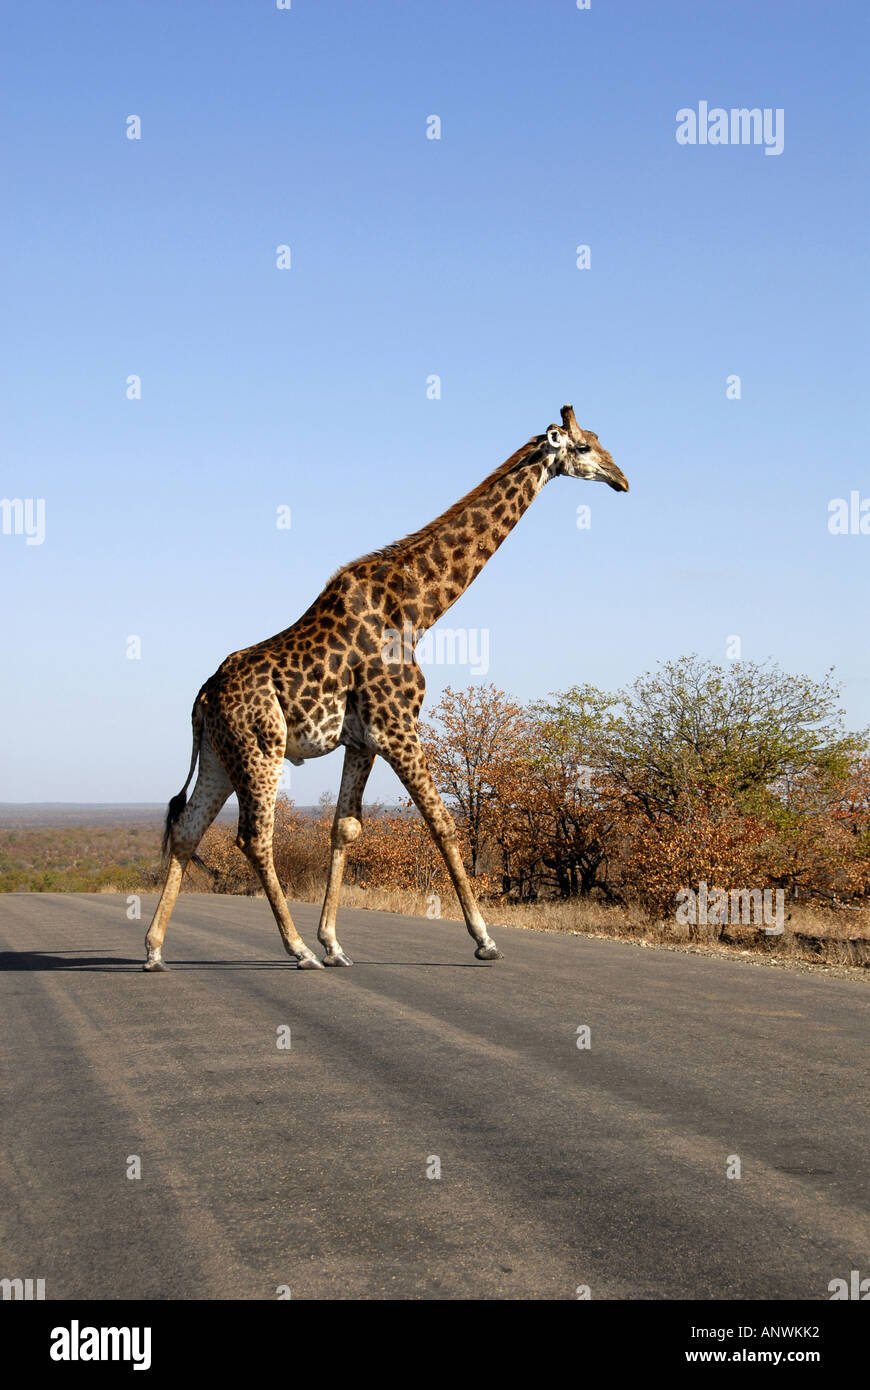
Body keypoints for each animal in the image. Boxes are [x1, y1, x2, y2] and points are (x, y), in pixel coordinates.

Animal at [145, 403, 625, 967]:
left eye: (598, 439)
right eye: (583, 446)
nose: (621, 479)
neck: (419, 609)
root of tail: (202, 697)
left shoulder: (362, 739)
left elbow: (345, 827)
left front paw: (334, 942)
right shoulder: (397, 726)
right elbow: (442, 822)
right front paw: (484, 939)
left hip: (221, 756)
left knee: (187, 830)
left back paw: (155, 947)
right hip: (261, 748)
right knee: (254, 838)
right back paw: (296, 948)